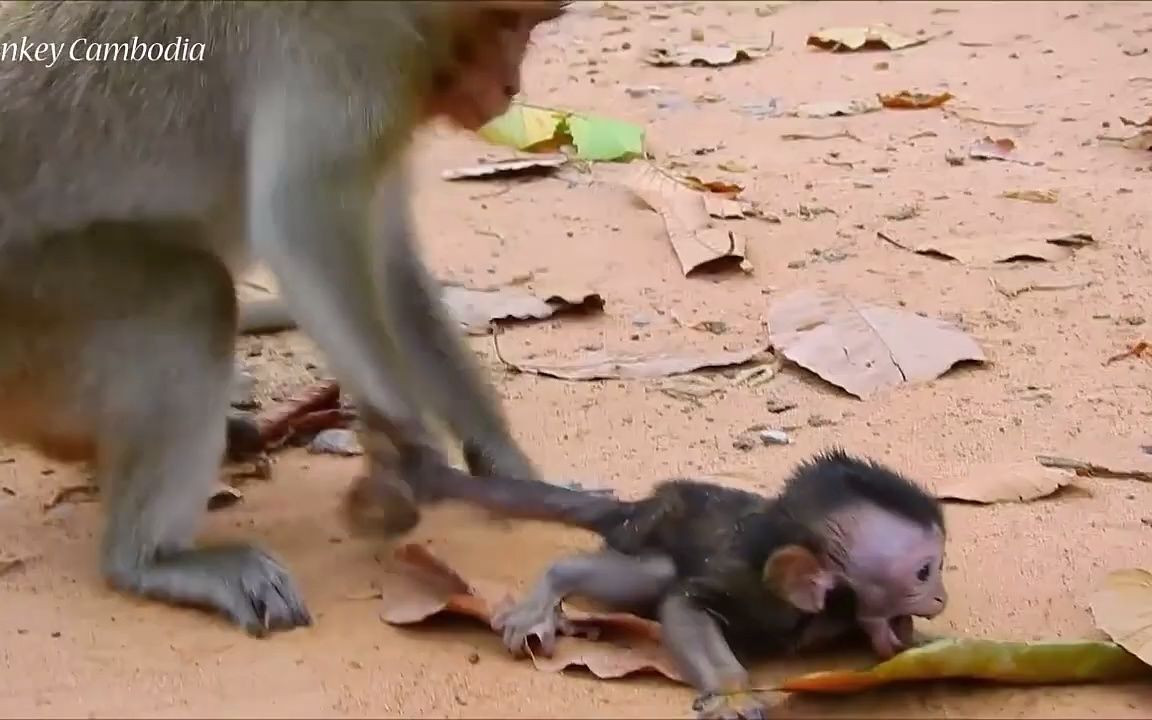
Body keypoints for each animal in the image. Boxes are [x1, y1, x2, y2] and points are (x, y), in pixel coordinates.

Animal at [0, 2, 562, 635]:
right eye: (508, 24)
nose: (511, 84)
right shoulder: (348, 55)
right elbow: (299, 218)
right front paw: (411, 457)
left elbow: (390, 260)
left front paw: (505, 464)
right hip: (26, 328)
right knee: (192, 297)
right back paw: (149, 560)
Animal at [354, 446, 949, 714]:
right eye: (924, 571)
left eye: (938, 566)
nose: (941, 595)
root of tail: (644, 507)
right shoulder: (756, 590)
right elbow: (684, 603)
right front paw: (730, 689)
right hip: (643, 535)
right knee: (658, 574)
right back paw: (554, 584)